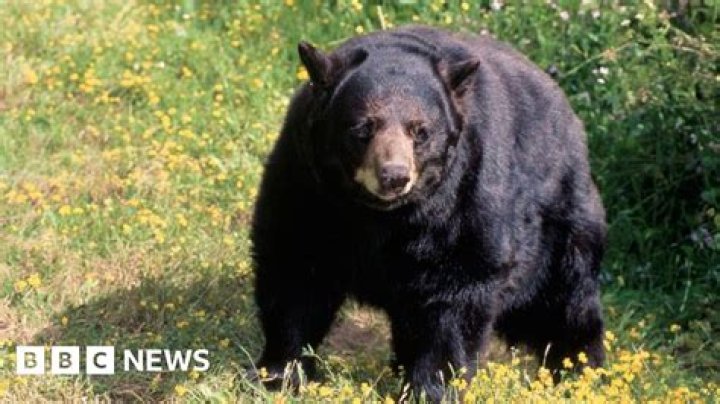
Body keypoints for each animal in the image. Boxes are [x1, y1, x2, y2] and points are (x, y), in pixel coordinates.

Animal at [250, 25, 607, 401]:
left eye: (420, 130)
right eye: (363, 127)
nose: (394, 175)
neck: (378, 216)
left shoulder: (463, 200)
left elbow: (455, 293)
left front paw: (430, 388)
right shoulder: (306, 187)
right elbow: (296, 269)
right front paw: (279, 372)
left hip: (559, 224)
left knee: (564, 299)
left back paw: (579, 371)